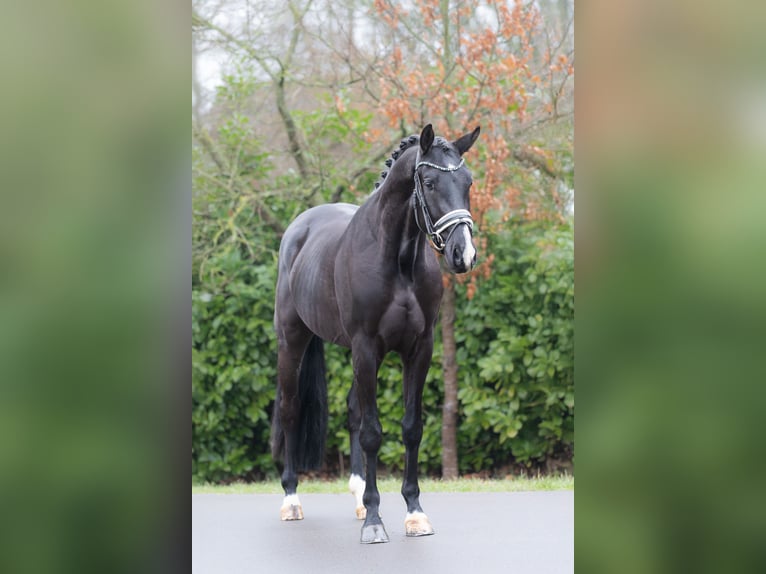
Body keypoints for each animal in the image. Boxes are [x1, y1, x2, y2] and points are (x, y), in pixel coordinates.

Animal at [270, 123, 480, 544]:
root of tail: (299, 229)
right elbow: (371, 432)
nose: (463, 254)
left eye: (468, 181)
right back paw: (291, 500)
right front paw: (374, 521)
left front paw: (414, 513)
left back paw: (356, 495)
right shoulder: (366, 348)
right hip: (292, 340)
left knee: (352, 409)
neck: (397, 258)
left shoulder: (419, 349)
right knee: (289, 408)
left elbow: (410, 428)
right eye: (429, 182)